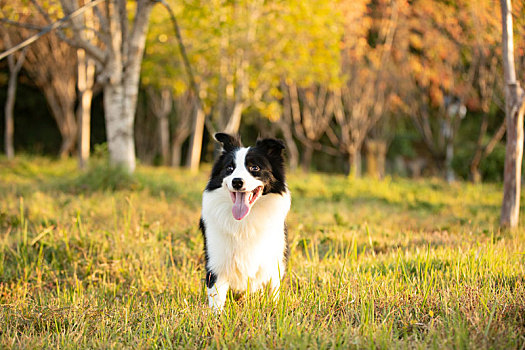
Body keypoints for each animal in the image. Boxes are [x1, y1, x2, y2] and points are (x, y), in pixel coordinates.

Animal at [200, 133, 290, 310]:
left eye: (254, 168)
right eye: (229, 168)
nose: (237, 182)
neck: (245, 221)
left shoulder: (273, 261)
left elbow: (272, 293)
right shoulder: (217, 263)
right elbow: (216, 301)